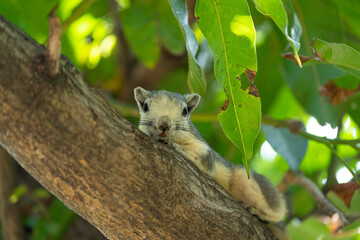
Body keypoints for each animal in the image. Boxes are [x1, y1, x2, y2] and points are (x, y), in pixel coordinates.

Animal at [134, 87, 286, 224]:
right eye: (145, 106)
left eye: (185, 111)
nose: (164, 125)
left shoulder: (203, 148)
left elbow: (204, 158)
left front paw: (172, 144)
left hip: (246, 179)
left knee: (279, 212)